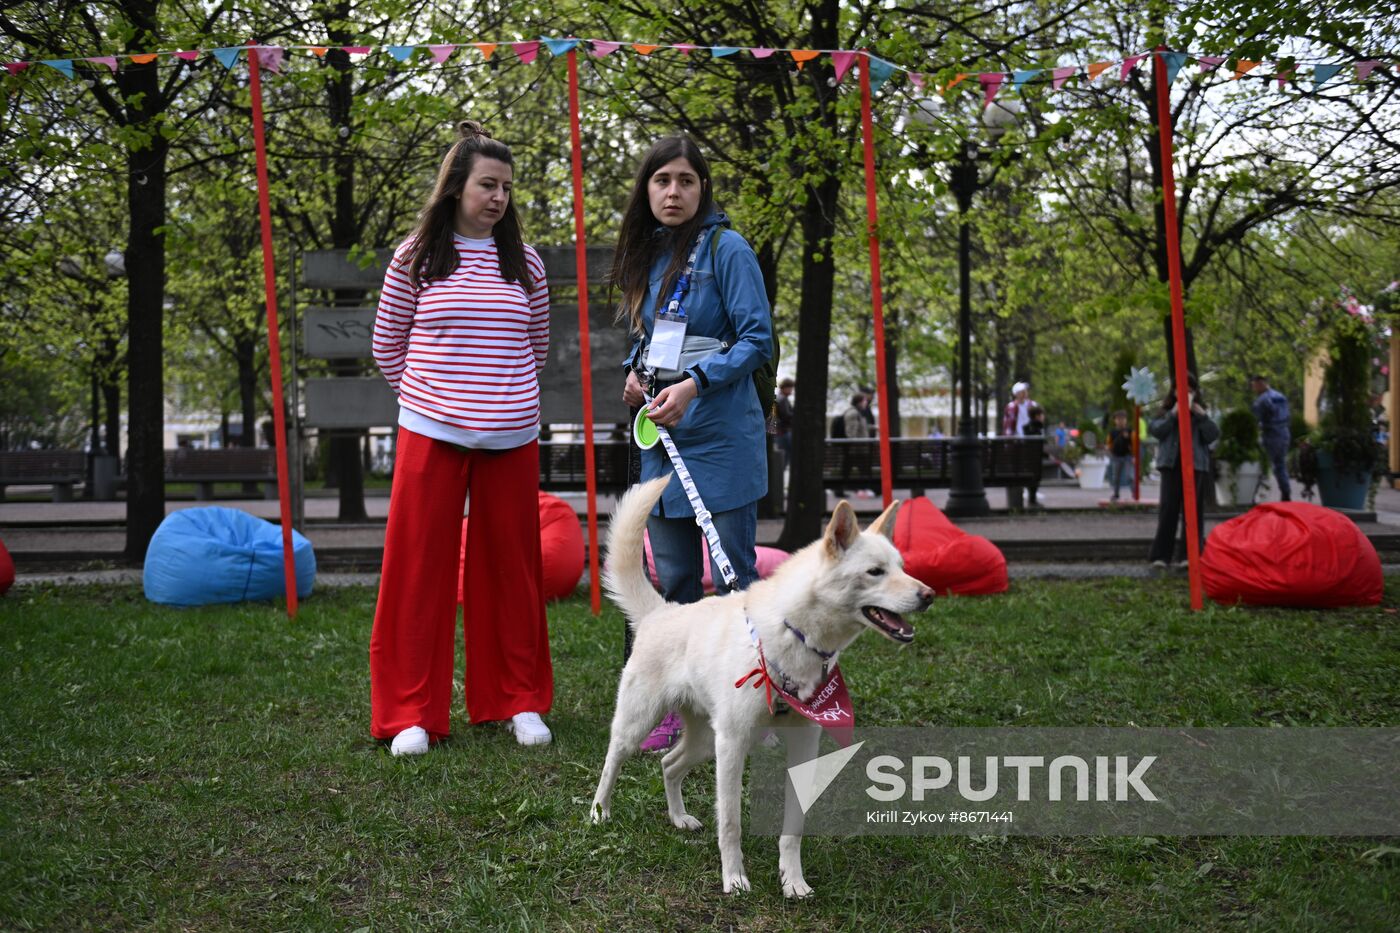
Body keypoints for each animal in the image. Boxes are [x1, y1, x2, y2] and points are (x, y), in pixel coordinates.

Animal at [590, 476, 929, 896]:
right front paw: (734, 879)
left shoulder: (802, 746)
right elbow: (731, 823)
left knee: (670, 764)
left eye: (901, 567)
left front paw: (793, 881)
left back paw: (679, 818)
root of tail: (661, 612)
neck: (791, 637)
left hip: (706, 740)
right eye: (875, 571)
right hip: (642, 724)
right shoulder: (732, 745)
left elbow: (793, 829)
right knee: (612, 761)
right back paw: (599, 812)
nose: (929, 595)